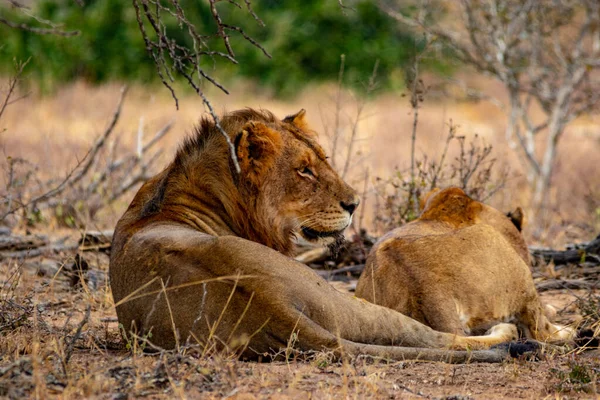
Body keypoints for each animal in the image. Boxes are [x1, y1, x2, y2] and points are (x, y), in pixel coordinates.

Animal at [110, 110, 524, 362]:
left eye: (323, 160)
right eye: (304, 170)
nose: (354, 204)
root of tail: (271, 303)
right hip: (346, 299)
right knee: (442, 337)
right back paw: (509, 331)